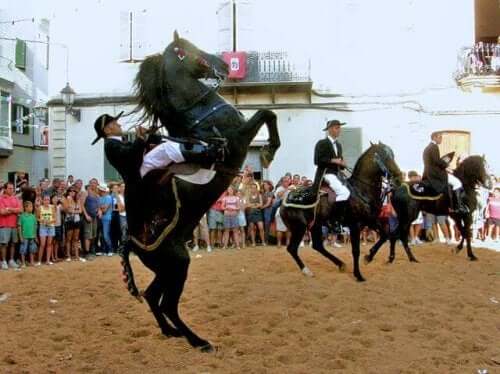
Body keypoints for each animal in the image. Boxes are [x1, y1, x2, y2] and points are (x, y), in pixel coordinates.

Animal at [119, 31, 280, 350]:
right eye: (192, 49)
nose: (225, 64)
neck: (199, 117)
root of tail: (133, 240)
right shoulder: (239, 139)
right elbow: (268, 113)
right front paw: (270, 150)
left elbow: (268, 114)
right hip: (179, 265)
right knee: (167, 304)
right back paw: (198, 341)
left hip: (167, 270)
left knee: (152, 297)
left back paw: (171, 332)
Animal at [282, 142, 402, 280]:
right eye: (386, 157)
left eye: (393, 155)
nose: (399, 178)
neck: (362, 190)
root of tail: (285, 200)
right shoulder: (355, 226)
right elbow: (356, 251)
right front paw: (358, 275)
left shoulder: (371, 221)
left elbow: (386, 235)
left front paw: (369, 257)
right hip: (299, 228)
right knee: (292, 249)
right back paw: (307, 271)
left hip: (315, 225)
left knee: (317, 246)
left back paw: (340, 264)